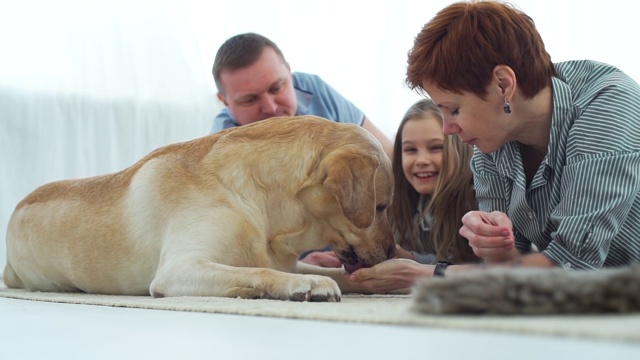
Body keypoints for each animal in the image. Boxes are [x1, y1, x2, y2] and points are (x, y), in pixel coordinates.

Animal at [3, 116, 396, 300]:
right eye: (380, 207)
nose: (393, 251)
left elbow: (339, 274)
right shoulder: (179, 268)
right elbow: (261, 271)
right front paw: (308, 283)